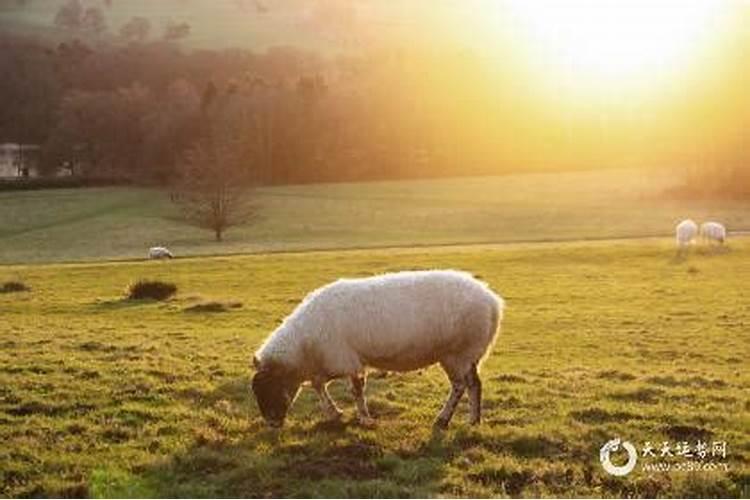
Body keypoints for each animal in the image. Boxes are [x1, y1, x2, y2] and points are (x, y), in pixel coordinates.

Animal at [253, 270, 506, 430]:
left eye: (270, 387)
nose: (272, 425)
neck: (303, 346)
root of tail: (492, 301)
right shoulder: (334, 362)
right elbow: (319, 385)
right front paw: (335, 414)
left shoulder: (344, 360)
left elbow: (354, 390)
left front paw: (364, 419)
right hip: (466, 354)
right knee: (472, 384)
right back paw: (470, 420)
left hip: (459, 352)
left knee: (463, 386)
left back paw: (446, 420)